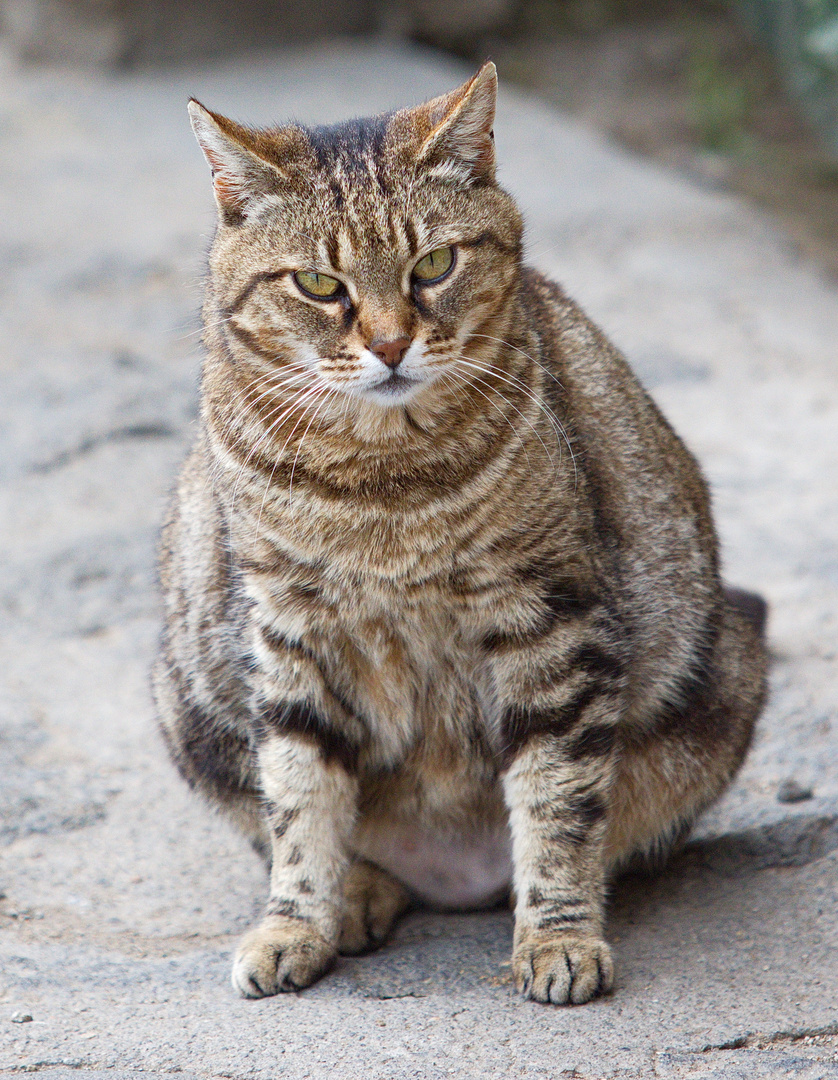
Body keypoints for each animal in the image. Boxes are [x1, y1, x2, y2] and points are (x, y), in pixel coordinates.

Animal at [153, 61, 768, 1002]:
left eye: (434, 265)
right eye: (319, 286)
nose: (390, 344)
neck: (383, 486)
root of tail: (454, 876)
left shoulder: (549, 617)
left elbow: (557, 798)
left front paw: (558, 938)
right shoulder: (285, 628)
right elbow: (298, 798)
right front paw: (295, 923)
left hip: (726, 666)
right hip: (185, 699)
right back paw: (358, 895)